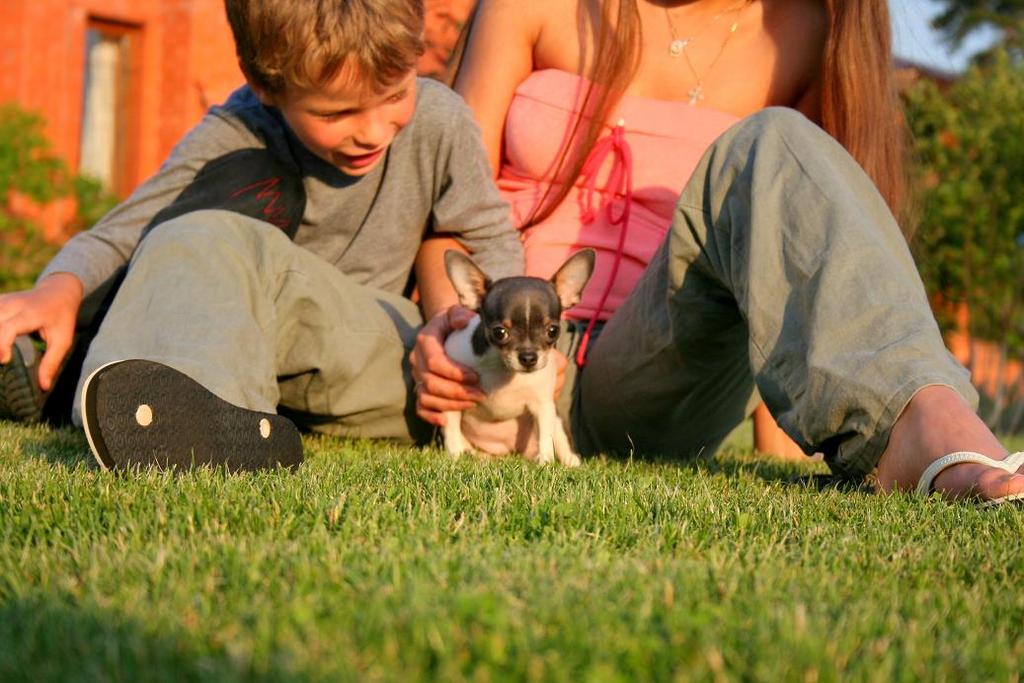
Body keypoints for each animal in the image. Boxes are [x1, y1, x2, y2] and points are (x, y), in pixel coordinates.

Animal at [441, 248, 596, 466]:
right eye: (499, 332)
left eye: (553, 331)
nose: (529, 357)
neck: (504, 371)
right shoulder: (451, 399)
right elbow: (452, 429)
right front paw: (454, 456)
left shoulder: (543, 404)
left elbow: (545, 436)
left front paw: (545, 461)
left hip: (555, 415)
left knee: (558, 435)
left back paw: (570, 460)